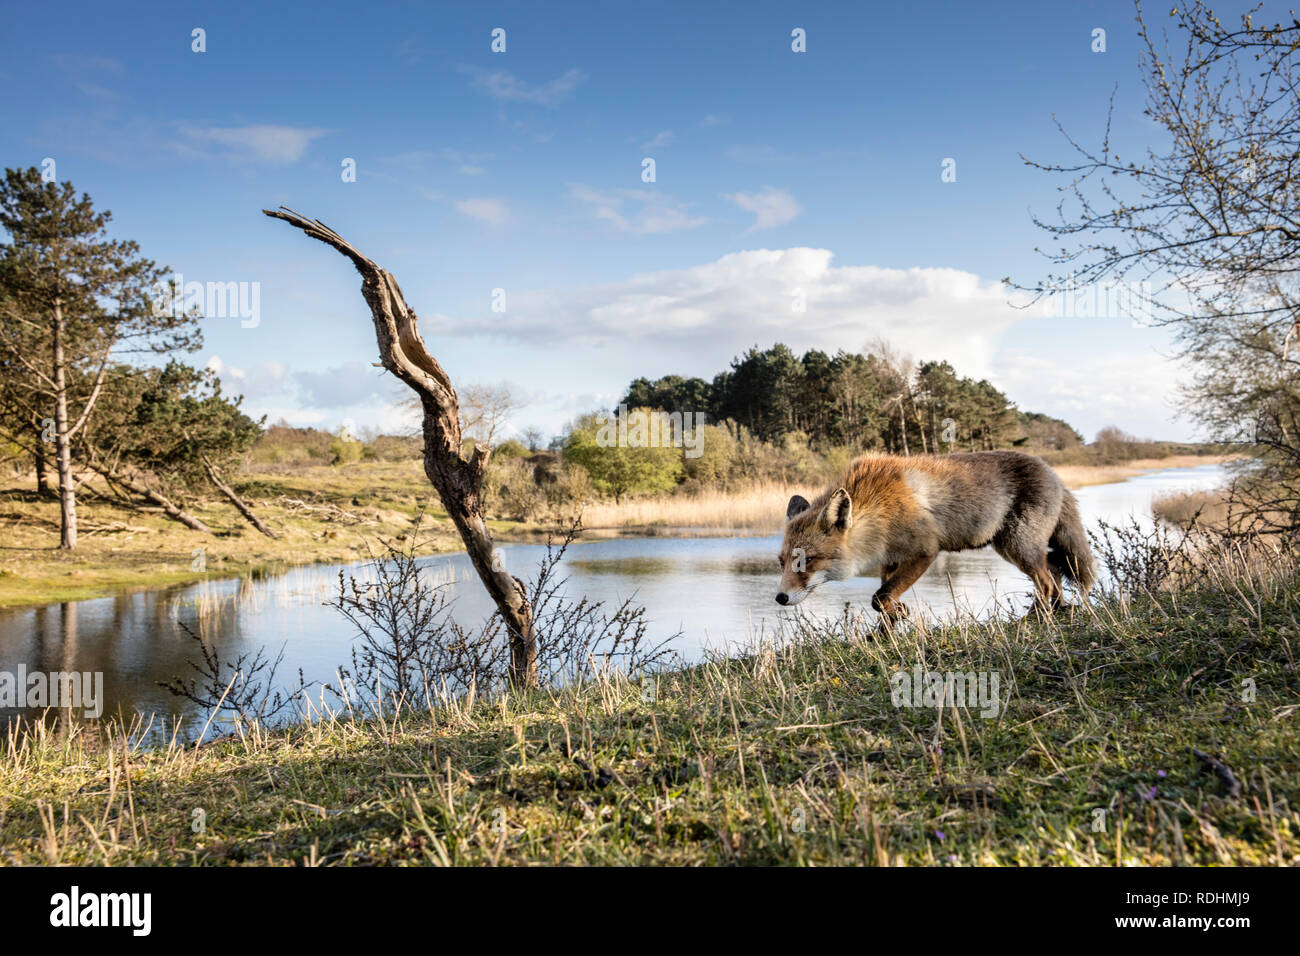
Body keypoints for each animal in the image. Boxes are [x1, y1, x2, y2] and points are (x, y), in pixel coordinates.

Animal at [775, 450, 1095, 621]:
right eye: (782, 562)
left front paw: (897, 614)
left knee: (1047, 582)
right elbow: (883, 600)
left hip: (1019, 548)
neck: (879, 508)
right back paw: (1059, 612)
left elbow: (880, 597)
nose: (780, 597)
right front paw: (887, 630)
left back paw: (1032, 620)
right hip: (1014, 548)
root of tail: (1053, 473)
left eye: (808, 560)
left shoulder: (925, 551)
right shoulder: (891, 559)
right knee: (1053, 571)